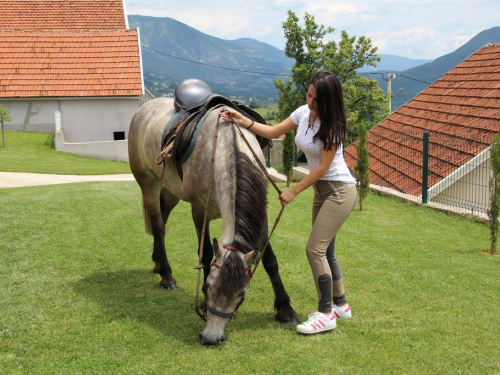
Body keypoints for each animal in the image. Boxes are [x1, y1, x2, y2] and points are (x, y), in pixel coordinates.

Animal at [128, 97, 296, 346]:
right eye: (208, 287)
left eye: (241, 293)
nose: (211, 338)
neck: (227, 145)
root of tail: (146, 107)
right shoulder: (200, 212)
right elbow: (206, 254)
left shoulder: (261, 217)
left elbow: (270, 261)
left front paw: (285, 309)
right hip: (148, 182)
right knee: (158, 225)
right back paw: (166, 275)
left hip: (171, 189)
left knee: (163, 218)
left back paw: (158, 262)